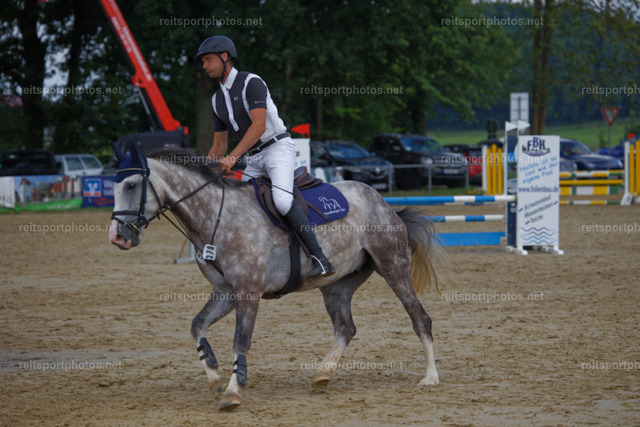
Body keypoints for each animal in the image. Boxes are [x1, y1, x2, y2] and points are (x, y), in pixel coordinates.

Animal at [108, 141, 443, 411]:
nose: (117, 237)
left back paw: (430, 377)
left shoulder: (248, 290)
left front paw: (233, 391)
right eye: (113, 188)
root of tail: (384, 204)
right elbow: (197, 326)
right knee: (345, 328)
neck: (216, 215)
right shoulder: (226, 292)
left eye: (132, 185)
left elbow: (240, 339)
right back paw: (322, 374)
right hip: (336, 286)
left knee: (420, 318)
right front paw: (215, 377)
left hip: (392, 266)